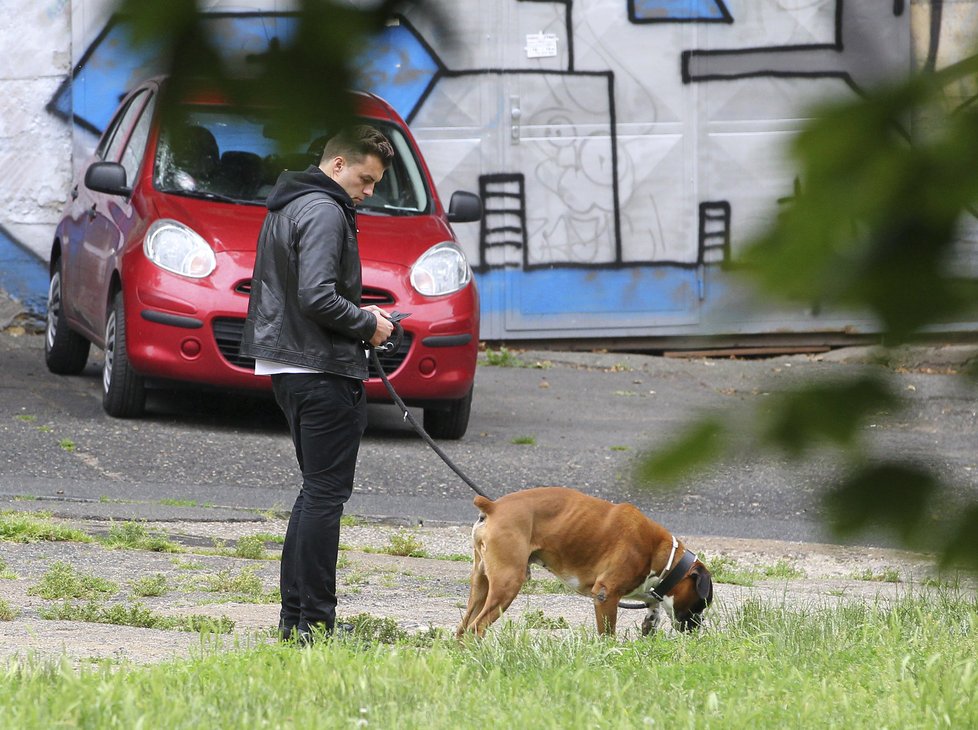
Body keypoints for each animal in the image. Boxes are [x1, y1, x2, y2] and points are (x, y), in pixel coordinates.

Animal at [458, 486, 708, 636]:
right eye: (701, 604)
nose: (698, 628)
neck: (665, 557)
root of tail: (493, 506)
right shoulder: (606, 594)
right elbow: (607, 633)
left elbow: (652, 603)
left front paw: (651, 620)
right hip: (507, 584)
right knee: (476, 628)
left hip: (481, 584)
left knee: (464, 628)